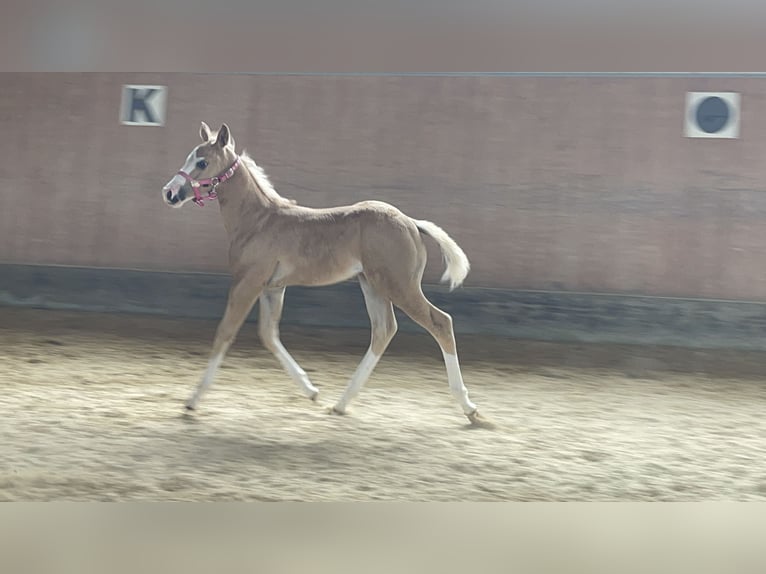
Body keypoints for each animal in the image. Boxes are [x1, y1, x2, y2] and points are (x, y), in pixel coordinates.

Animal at [162, 122, 492, 427]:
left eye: (202, 162)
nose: (170, 192)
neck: (258, 220)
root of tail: (411, 222)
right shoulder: (272, 287)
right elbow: (268, 334)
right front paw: (312, 391)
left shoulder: (248, 282)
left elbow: (225, 332)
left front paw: (192, 401)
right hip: (372, 284)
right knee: (384, 329)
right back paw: (341, 404)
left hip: (399, 285)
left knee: (440, 322)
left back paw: (469, 408)